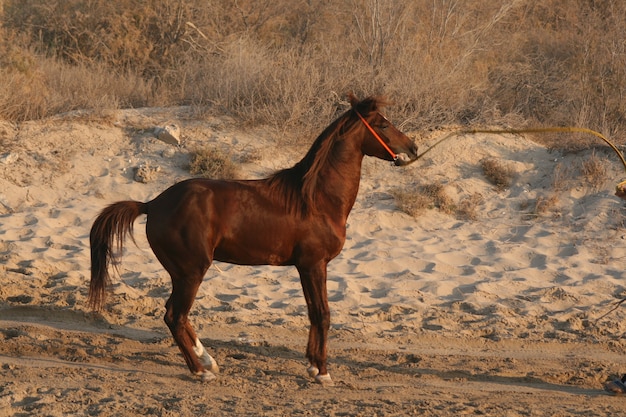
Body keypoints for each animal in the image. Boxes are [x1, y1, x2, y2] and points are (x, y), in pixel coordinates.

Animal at [89, 93, 414, 384]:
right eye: (383, 124)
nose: (413, 147)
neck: (316, 199)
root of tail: (153, 204)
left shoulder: (306, 267)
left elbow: (312, 312)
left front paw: (312, 366)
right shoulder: (314, 264)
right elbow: (323, 314)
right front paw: (322, 372)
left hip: (181, 274)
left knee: (179, 316)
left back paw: (209, 360)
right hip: (191, 272)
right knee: (174, 316)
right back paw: (201, 371)